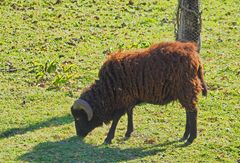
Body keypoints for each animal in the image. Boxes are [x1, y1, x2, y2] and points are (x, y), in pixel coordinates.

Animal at [70, 41, 207, 145]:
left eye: (78, 117)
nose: (79, 135)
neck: (106, 89)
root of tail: (194, 56)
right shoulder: (129, 98)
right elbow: (130, 112)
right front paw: (128, 132)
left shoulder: (123, 99)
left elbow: (117, 117)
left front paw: (108, 138)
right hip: (185, 91)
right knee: (188, 112)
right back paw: (185, 135)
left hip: (186, 88)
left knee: (193, 112)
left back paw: (191, 138)